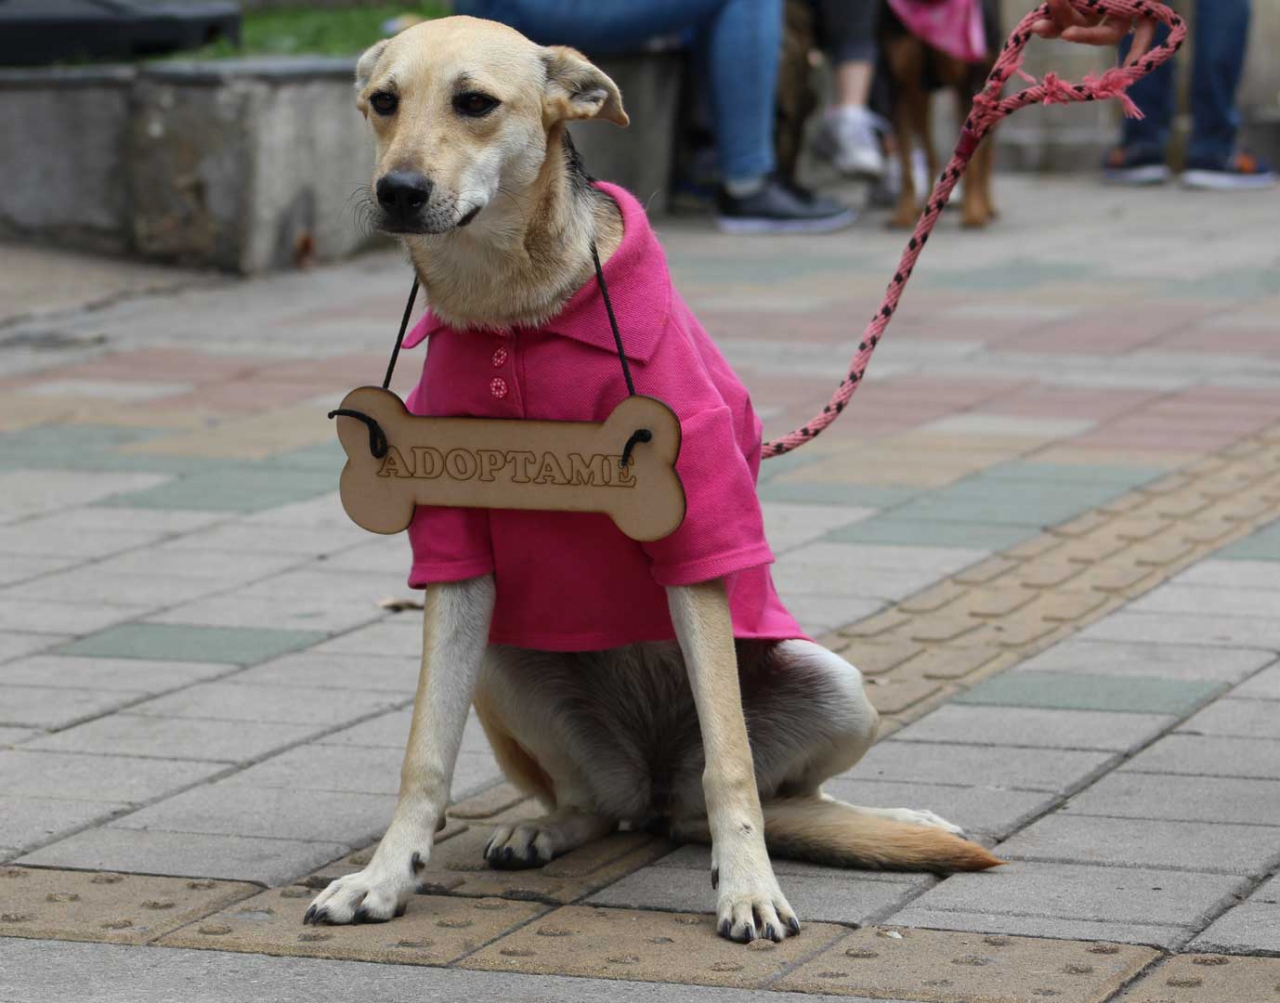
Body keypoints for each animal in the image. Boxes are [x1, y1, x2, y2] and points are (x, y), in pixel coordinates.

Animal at [302, 13, 998, 941]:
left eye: (474, 103)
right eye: (383, 102)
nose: (399, 191)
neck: (514, 309)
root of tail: (658, 790)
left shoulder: (694, 534)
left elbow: (731, 764)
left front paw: (748, 886)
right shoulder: (453, 561)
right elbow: (425, 753)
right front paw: (386, 875)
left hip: (834, 684)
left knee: (774, 794)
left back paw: (880, 822)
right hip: (504, 665)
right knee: (598, 803)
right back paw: (545, 827)